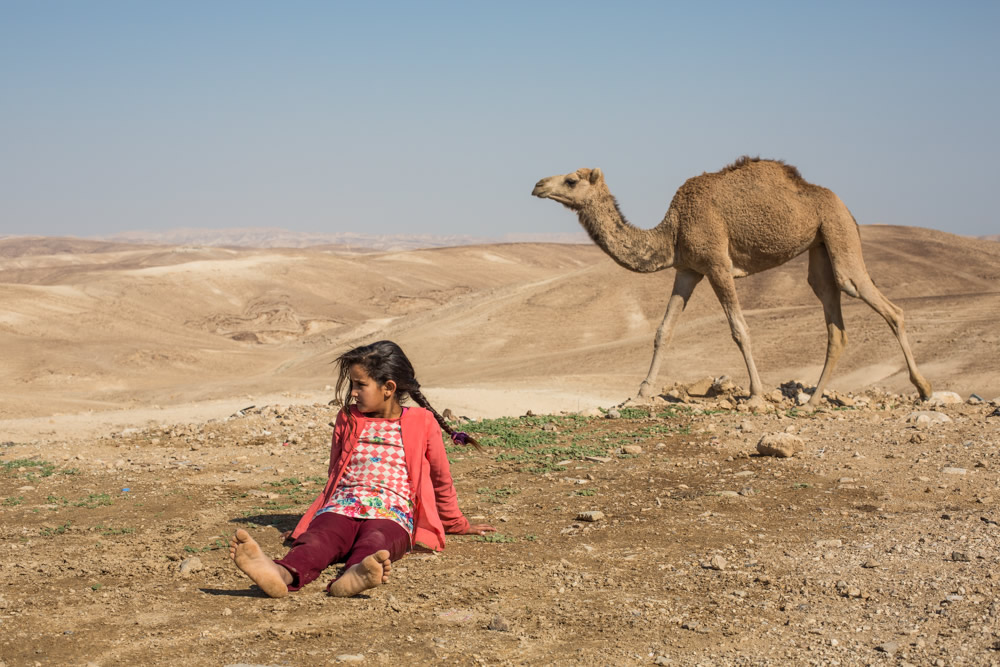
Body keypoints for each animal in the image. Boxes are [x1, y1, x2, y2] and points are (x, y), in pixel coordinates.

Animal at [536, 158, 932, 408]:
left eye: (571, 180)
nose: (538, 184)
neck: (673, 230)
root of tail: (841, 203)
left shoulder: (717, 264)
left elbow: (740, 329)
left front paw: (755, 394)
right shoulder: (688, 270)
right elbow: (664, 330)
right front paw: (642, 391)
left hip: (838, 231)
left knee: (884, 305)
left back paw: (925, 389)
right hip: (820, 245)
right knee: (833, 318)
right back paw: (812, 402)